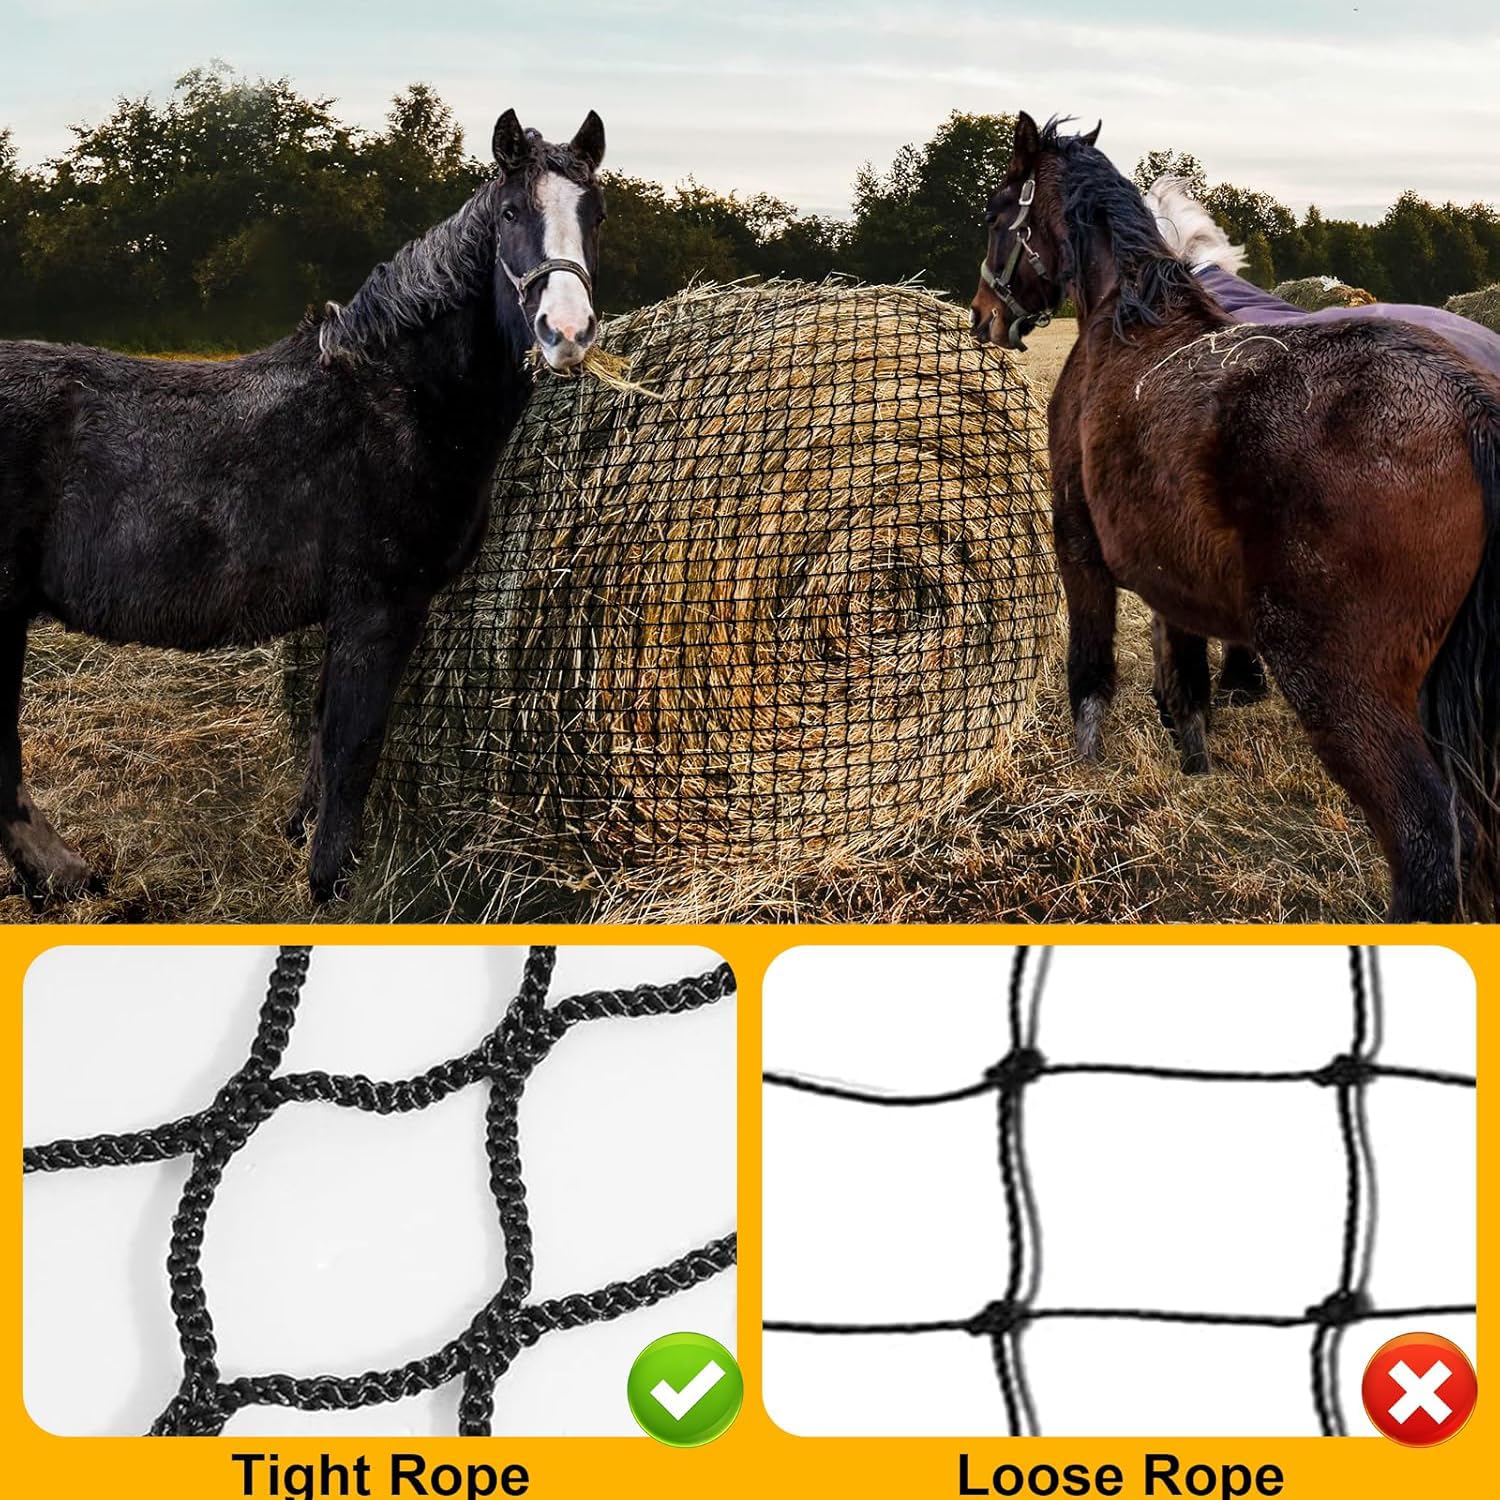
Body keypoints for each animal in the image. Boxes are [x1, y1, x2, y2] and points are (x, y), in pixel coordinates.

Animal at [0, 108, 606, 905]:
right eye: (510, 213)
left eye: (595, 215)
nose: (566, 333)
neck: (397, 397)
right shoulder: (381, 603)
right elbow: (354, 743)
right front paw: (329, 883)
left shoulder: (346, 610)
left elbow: (323, 734)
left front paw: (302, 838)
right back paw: (63, 874)